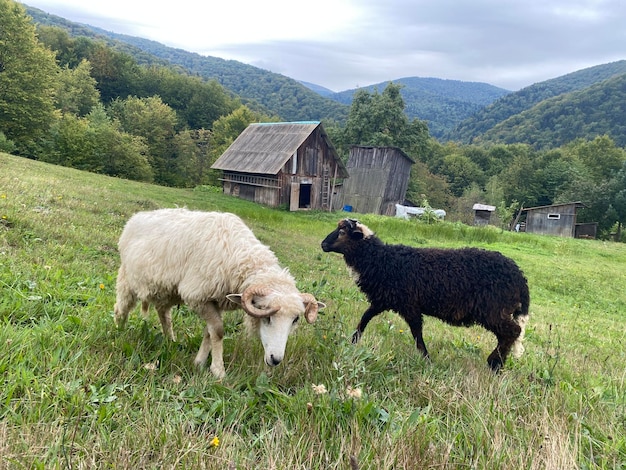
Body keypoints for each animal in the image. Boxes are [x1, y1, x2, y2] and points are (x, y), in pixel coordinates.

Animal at [112, 209, 324, 378]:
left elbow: (209, 332)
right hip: (128, 278)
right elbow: (218, 331)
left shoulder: (215, 300)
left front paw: (199, 362)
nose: (275, 359)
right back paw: (119, 333)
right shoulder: (198, 296)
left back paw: (170, 340)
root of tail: (137, 216)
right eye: (266, 316)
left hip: (166, 289)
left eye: (295, 319)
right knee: (121, 308)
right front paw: (218, 370)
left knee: (164, 314)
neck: (239, 254)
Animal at [320, 218, 528, 372]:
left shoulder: (409, 304)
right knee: (506, 335)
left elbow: (416, 333)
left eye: (342, 232)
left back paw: (494, 363)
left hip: (493, 309)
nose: (322, 244)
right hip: (497, 311)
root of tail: (520, 277)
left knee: (513, 332)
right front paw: (353, 341)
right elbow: (365, 318)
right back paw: (497, 364)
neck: (382, 260)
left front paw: (426, 359)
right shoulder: (383, 300)